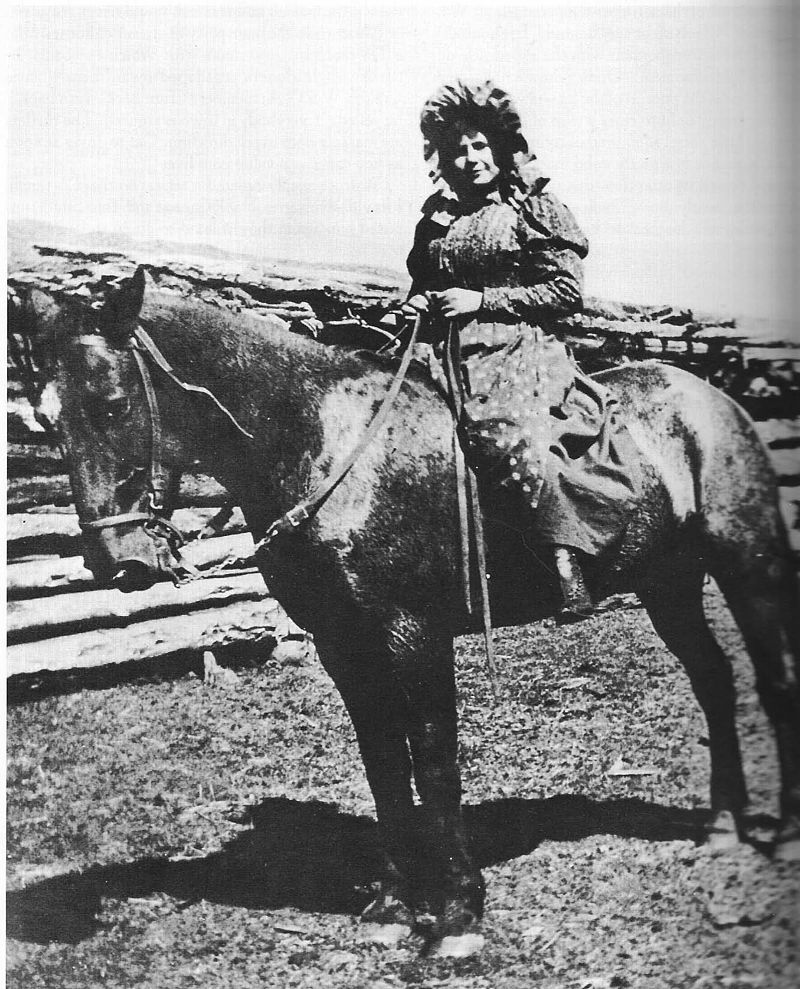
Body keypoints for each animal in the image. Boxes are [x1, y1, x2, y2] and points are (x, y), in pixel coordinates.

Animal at [18, 266, 800, 952]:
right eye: (48, 419)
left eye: (113, 405)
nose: (119, 563)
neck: (326, 446)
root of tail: (710, 399)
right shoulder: (344, 642)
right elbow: (384, 765)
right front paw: (393, 905)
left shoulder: (413, 634)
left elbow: (433, 759)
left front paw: (457, 913)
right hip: (669, 585)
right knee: (715, 680)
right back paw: (723, 824)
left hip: (749, 568)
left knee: (772, 680)